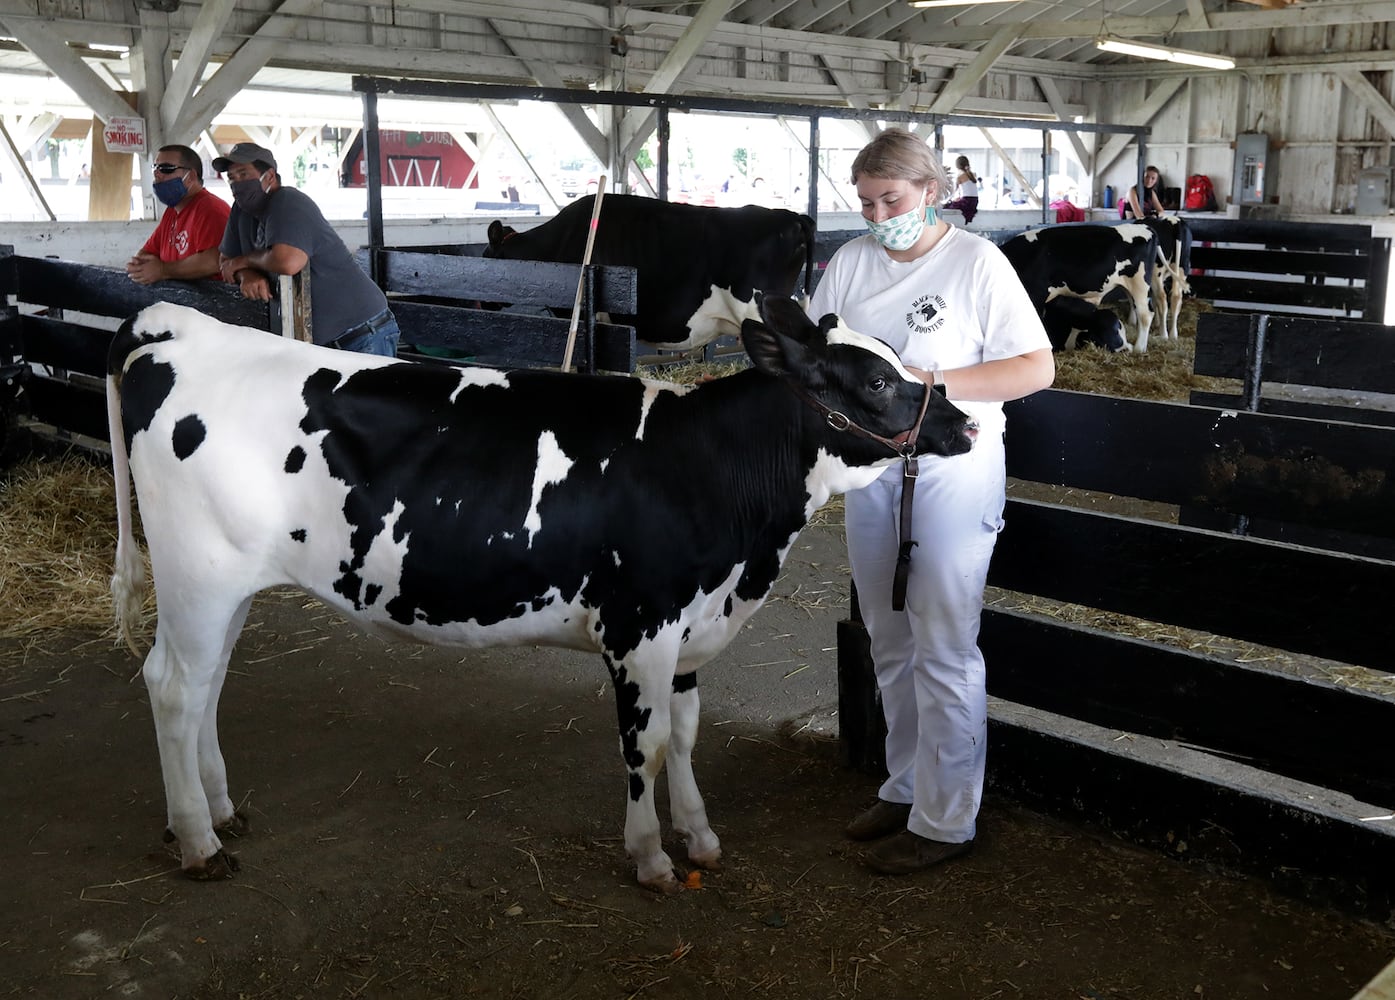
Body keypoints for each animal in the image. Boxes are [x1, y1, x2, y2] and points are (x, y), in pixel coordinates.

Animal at [108, 294, 976, 887]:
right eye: (875, 379)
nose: (966, 423)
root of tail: (179, 325)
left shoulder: (691, 628)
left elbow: (686, 736)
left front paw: (699, 837)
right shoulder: (639, 626)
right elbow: (646, 746)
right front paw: (651, 857)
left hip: (227, 586)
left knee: (208, 684)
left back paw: (221, 811)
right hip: (198, 574)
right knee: (174, 687)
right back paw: (197, 842)